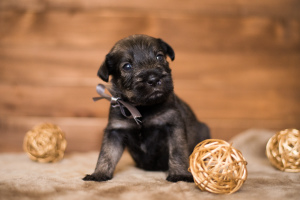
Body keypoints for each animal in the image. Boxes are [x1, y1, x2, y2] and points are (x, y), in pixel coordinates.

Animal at [83, 34, 210, 183]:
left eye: (159, 57)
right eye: (127, 66)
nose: (154, 79)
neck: (142, 107)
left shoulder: (173, 125)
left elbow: (177, 151)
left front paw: (179, 174)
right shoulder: (115, 131)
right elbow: (107, 153)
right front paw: (99, 173)